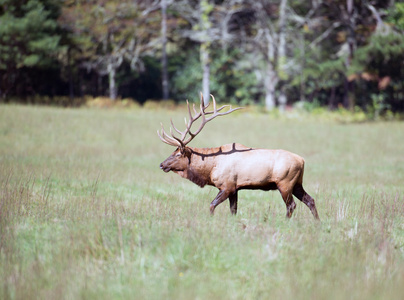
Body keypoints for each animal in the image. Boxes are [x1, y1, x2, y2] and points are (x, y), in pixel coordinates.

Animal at [158, 95, 318, 219]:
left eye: (177, 154)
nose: (161, 164)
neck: (210, 169)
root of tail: (302, 161)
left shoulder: (227, 186)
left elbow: (212, 205)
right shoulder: (235, 188)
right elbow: (233, 210)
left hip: (285, 182)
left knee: (291, 205)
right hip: (297, 183)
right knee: (310, 200)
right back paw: (318, 223)